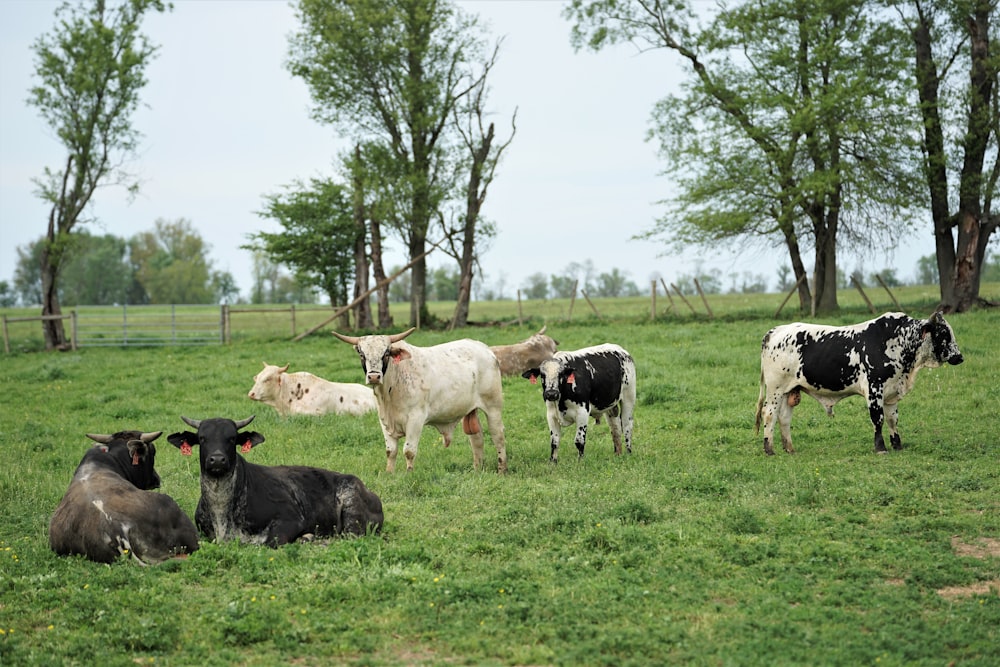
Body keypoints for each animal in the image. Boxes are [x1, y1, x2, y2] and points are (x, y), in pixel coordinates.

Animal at [334, 328, 512, 474]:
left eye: (386, 353)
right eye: (362, 354)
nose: (374, 377)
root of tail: (484, 348)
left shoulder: (416, 419)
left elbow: (409, 450)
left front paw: (409, 473)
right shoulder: (384, 421)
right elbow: (391, 451)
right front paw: (389, 473)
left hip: (493, 407)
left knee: (497, 436)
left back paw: (502, 469)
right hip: (469, 410)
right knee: (477, 439)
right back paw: (477, 469)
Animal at [756, 312, 960, 456]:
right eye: (943, 333)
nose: (959, 357)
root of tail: (776, 331)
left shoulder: (891, 392)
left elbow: (892, 419)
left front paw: (897, 445)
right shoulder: (874, 390)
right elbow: (878, 419)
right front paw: (880, 448)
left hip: (789, 390)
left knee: (784, 417)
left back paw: (789, 448)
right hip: (775, 390)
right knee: (769, 414)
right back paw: (769, 449)